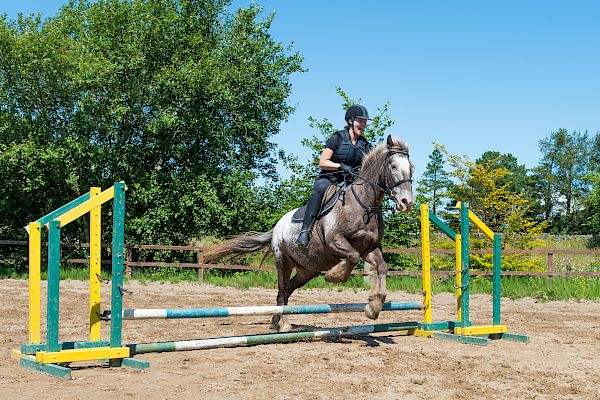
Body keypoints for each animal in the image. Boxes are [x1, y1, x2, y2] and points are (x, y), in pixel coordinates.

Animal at [204, 134, 414, 332]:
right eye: (393, 166)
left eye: (411, 168)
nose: (407, 202)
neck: (364, 206)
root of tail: (277, 225)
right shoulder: (335, 241)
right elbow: (352, 257)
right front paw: (334, 275)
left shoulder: (370, 248)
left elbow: (382, 267)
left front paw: (373, 307)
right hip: (283, 261)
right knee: (282, 291)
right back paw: (284, 325)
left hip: (307, 270)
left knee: (286, 291)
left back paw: (276, 321)